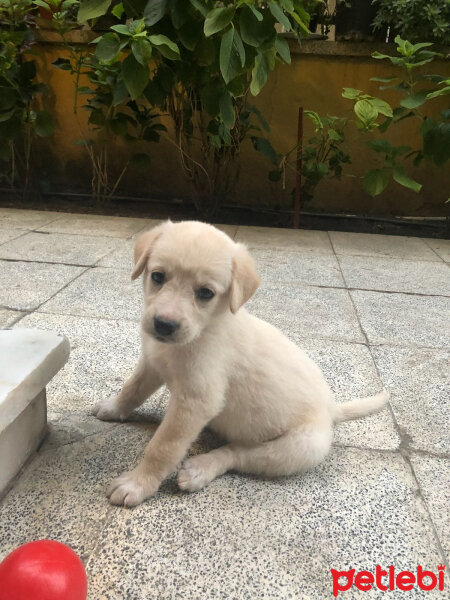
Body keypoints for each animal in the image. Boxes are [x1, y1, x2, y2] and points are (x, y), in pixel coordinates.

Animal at [93, 220, 388, 506]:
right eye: (157, 276)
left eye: (205, 293)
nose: (164, 325)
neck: (203, 330)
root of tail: (331, 409)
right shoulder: (152, 364)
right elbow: (131, 389)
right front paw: (113, 408)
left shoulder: (196, 401)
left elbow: (163, 446)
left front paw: (138, 484)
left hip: (301, 447)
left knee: (237, 453)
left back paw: (200, 469)